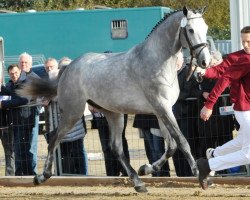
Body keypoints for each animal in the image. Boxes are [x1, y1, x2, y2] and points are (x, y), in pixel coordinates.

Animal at [20, 7, 211, 193]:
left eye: (206, 28)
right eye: (191, 30)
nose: (205, 61)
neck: (156, 60)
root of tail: (68, 67)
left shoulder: (163, 110)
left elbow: (171, 146)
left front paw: (146, 168)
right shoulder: (161, 108)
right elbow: (182, 141)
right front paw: (200, 176)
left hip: (113, 114)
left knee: (116, 148)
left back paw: (138, 182)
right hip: (73, 112)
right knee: (54, 138)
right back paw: (41, 176)